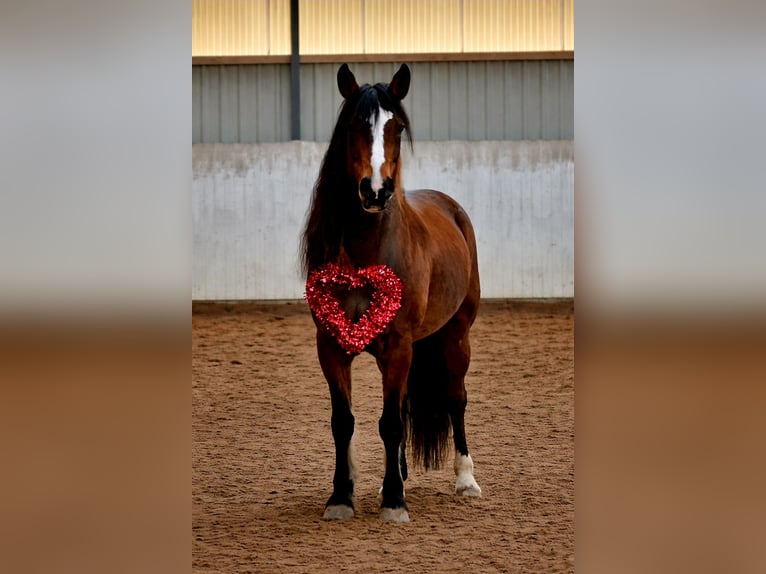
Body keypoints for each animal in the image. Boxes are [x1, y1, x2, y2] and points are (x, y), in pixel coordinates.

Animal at [300, 63, 482, 522]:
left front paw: (394, 502)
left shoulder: (399, 345)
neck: (369, 250)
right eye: (353, 125)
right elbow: (344, 421)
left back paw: (466, 481)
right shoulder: (330, 345)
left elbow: (391, 424)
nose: (376, 190)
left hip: (456, 336)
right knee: (400, 405)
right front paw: (341, 496)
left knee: (455, 399)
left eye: (396, 126)